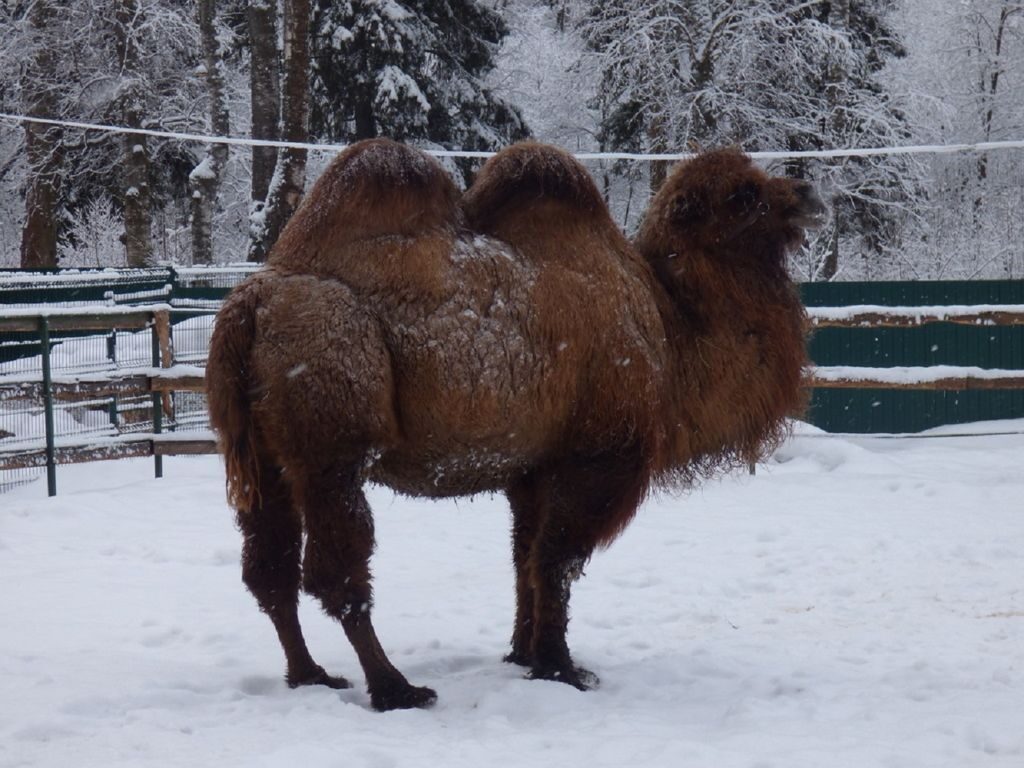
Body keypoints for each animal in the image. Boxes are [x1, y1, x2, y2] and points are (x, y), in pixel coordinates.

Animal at [205, 139, 824, 710]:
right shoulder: (600, 454)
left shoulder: (533, 466)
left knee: (270, 567)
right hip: (333, 442)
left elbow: (523, 556)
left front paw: (522, 655)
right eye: (743, 196)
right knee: (334, 571)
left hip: (263, 456)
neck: (672, 328)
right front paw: (562, 668)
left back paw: (311, 675)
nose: (807, 194)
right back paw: (395, 688)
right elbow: (557, 560)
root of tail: (250, 305)